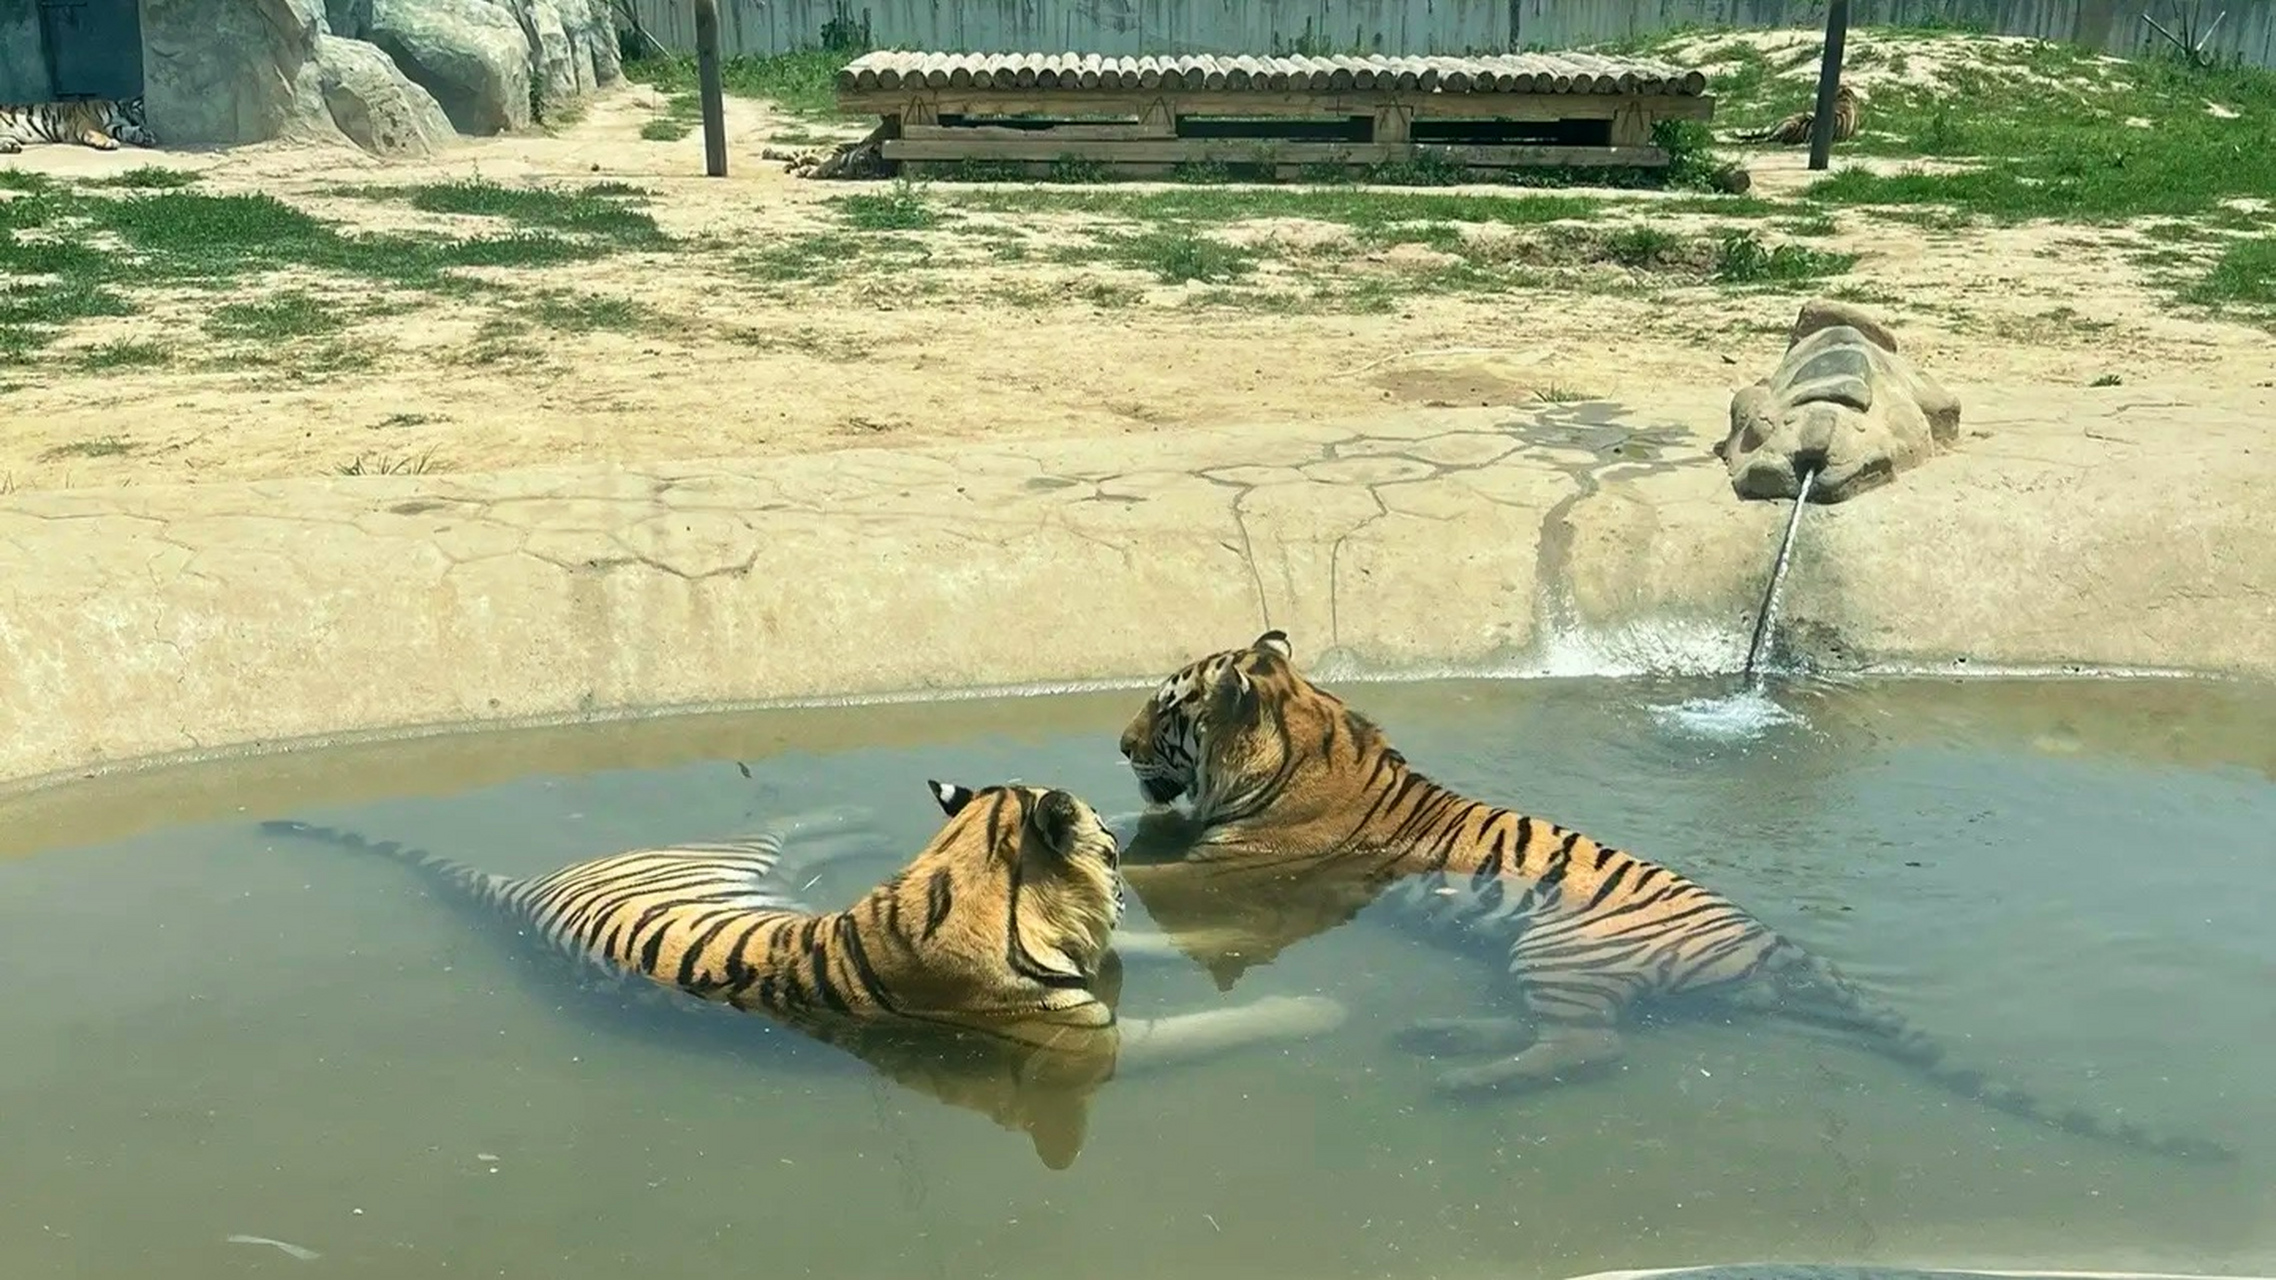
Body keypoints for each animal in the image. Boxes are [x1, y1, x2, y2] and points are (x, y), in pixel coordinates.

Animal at [0, 95, 155, 154]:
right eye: (143, 110)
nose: (145, 121)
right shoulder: (87, 120)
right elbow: (97, 131)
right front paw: (108, 142)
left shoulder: (112, 127)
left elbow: (124, 130)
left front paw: (145, 136)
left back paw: (10, 146)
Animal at [1119, 628, 2239, 1166]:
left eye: (1165, 709)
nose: (1123, 744)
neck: (1309, 733)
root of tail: (1786, 948)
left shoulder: (1248, 863)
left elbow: (1151, 870)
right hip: (1539, 963)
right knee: (1571, 1032)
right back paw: (1438, 1037)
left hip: (1559, 954)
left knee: (1590, 1047)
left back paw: (1459, 1079)